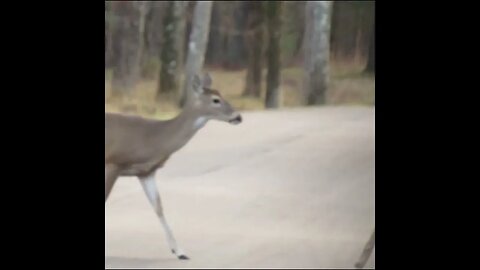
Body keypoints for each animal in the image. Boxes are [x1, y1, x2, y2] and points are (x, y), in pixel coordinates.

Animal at [103, 73, 242, 260]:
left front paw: (180, 251)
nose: (238, 116)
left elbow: (159, 207)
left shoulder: (146, 172)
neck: (152, 138)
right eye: (216, 100)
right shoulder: (113, 162)